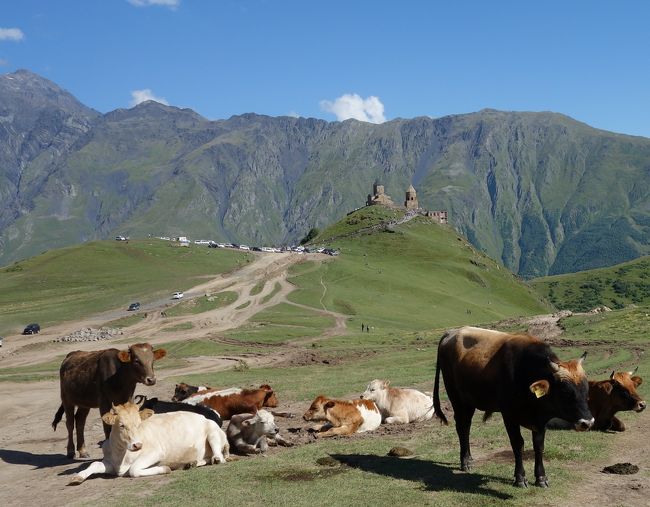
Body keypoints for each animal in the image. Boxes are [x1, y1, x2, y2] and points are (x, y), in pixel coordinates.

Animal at [67, 402, 228, 486]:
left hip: (213, 433)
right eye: (121, 425)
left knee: (219, 457)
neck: (122, 456)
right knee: (206, 459)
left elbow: (134, 469)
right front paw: (77, 477)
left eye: (139, 424)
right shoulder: (110, 462)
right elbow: (94, 464)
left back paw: (214, 459)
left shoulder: (156, 452)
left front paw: (165, 468)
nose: (137, 445)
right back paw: (191, 463)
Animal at [432, 328, 588, 490]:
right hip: (457, 399)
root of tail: (453, 332)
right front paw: (520, 478)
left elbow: (538, 446)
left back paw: (468, 458)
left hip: (469, 402)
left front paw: (541, 478)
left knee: (466, 426)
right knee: (461, 427)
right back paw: (466, 462)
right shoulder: (509, 415)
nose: (587, 422)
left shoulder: (540, 420)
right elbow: (518, 444)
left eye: (586, 389)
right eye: (565, 391)